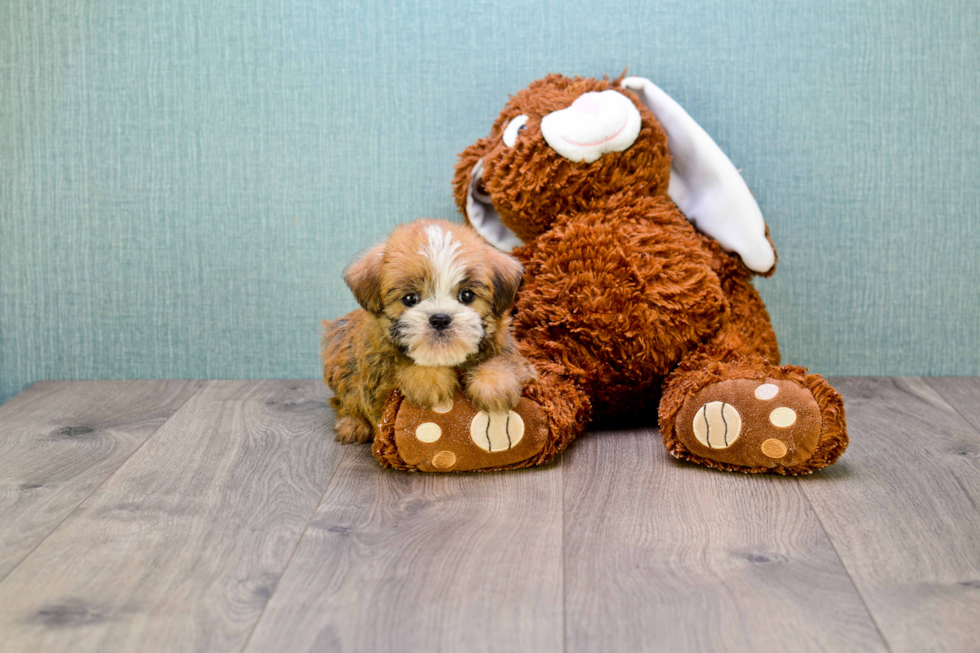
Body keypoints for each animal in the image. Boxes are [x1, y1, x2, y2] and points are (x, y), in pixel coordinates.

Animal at [322, 219, 536, 444]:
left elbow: (504, 361)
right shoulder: (377, 377)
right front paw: (428, 379)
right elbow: (400, 368)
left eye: (467, 295)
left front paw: (493, 383)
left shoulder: (513, 354)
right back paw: (353, 423)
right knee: (344, 400)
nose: (440, 319)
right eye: (410, 299)